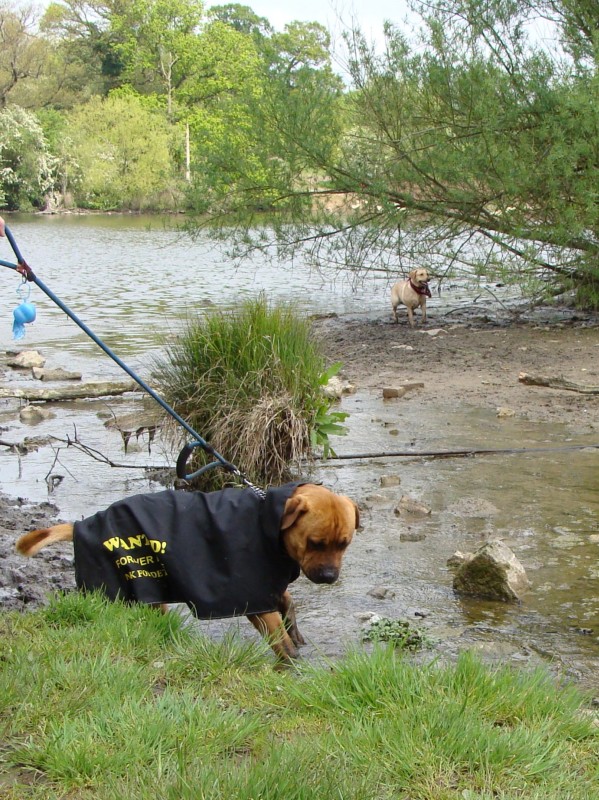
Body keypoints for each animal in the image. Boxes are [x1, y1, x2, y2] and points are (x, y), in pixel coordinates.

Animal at [15, 484, 360, 664]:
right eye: (315, 543)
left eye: (344, 544)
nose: (329, 576)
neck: (269, 524)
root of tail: (83, 525)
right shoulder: (255, 597)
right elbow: (279, 637)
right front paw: (290, 661)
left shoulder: (269, 584)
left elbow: (289, 605)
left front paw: (296, 633)